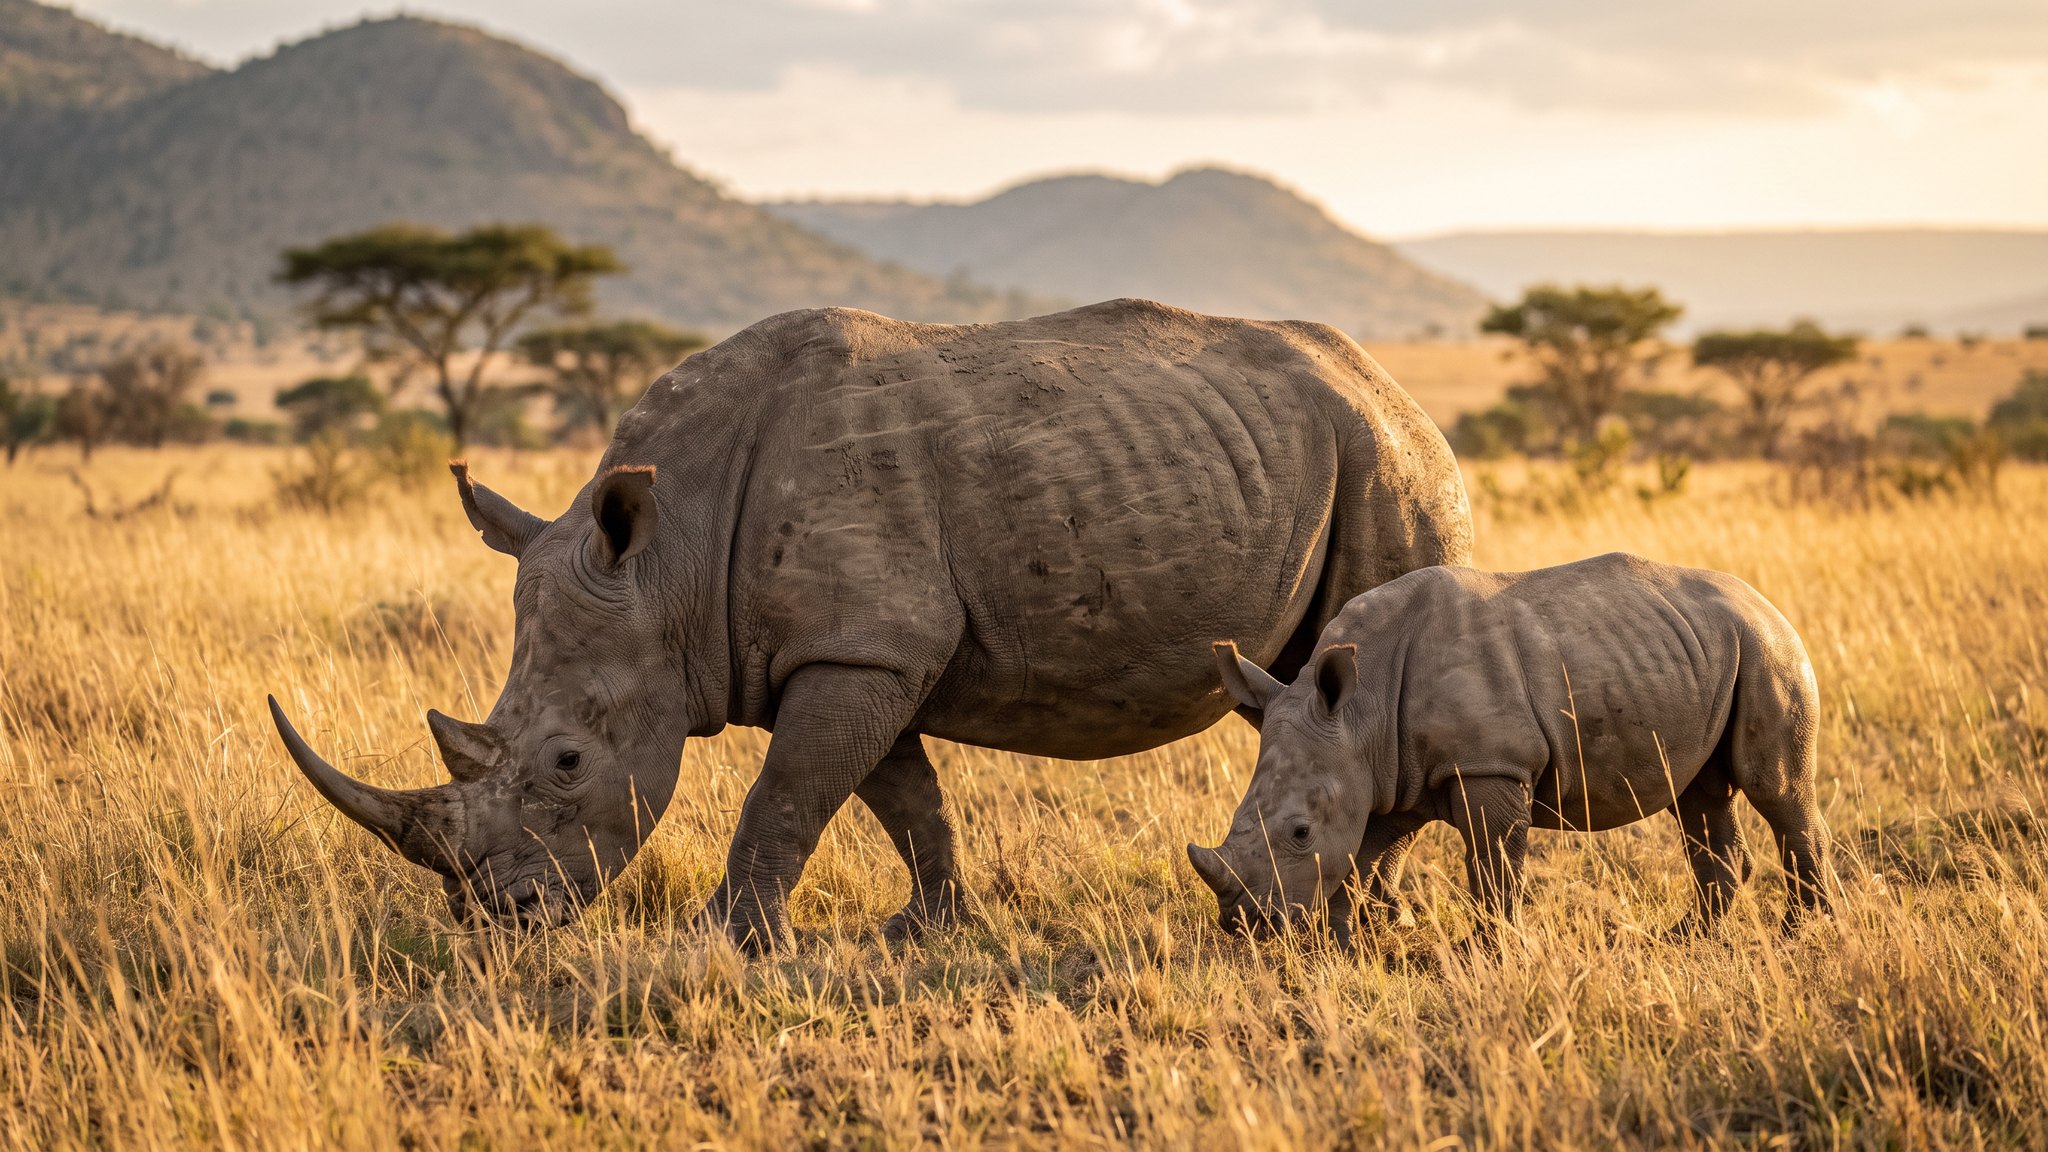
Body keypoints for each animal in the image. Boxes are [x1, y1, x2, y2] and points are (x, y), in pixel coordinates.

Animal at [268, 298, 1472, 947]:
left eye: (566, 761)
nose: (499, 917)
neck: (666, 554)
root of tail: (1395, 387)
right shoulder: (862, 648)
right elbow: (900, 797)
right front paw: (926, 930)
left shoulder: (861, 648)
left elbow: (788, 793)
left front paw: (726, 943)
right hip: (1336, 454)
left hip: (1390, 469)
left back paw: (1361, 921)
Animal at [1189, 552, 1833, 940]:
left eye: (1300, 832)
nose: (1243, 923)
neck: (1358, 709)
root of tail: (1764, 601)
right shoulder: (1386, 776)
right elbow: (1360, 861)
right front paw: (1348, 946)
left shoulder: (1490, 765)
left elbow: (1493, 863)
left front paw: (1489, 950)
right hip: (1706, 651)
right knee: (1698, 793)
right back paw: (1686, 939)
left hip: (1768, 650)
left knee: (1775, 787)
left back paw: (1803, 933)